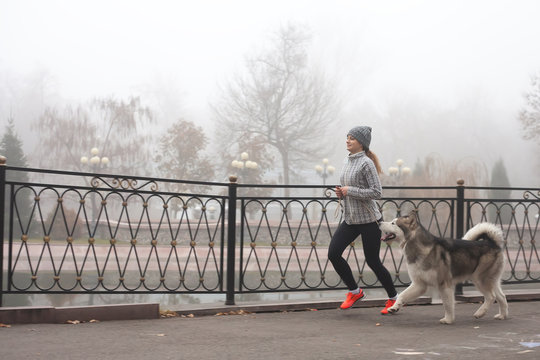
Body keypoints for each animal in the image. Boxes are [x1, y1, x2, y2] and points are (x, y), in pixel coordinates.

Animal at [378, 212, 508, 324]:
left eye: (393, 223)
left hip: (479, 279)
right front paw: (394, 307)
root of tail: (491, 243)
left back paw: (480, 313)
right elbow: (402, 295)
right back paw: (502, 315)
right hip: (490, 280)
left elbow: (447, 304)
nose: (379, 222)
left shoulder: (444, 283)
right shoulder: (419, 284)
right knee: (501, 296)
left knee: (491, 297)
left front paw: (448, 319)